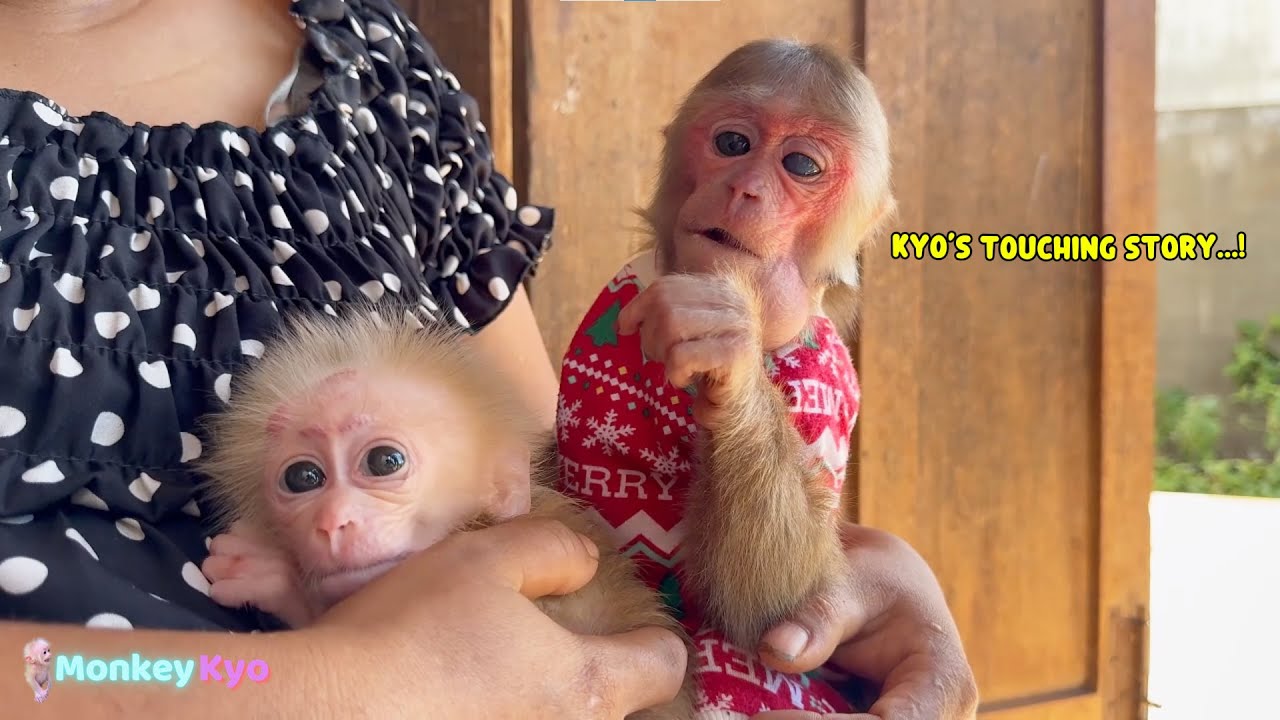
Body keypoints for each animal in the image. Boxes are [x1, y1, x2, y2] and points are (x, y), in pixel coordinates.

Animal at [552, 38, 895, 716]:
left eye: (800, 164)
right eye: (733, 144)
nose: (746, 188)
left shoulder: (822, 378)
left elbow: (767, 611)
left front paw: (729, 355)